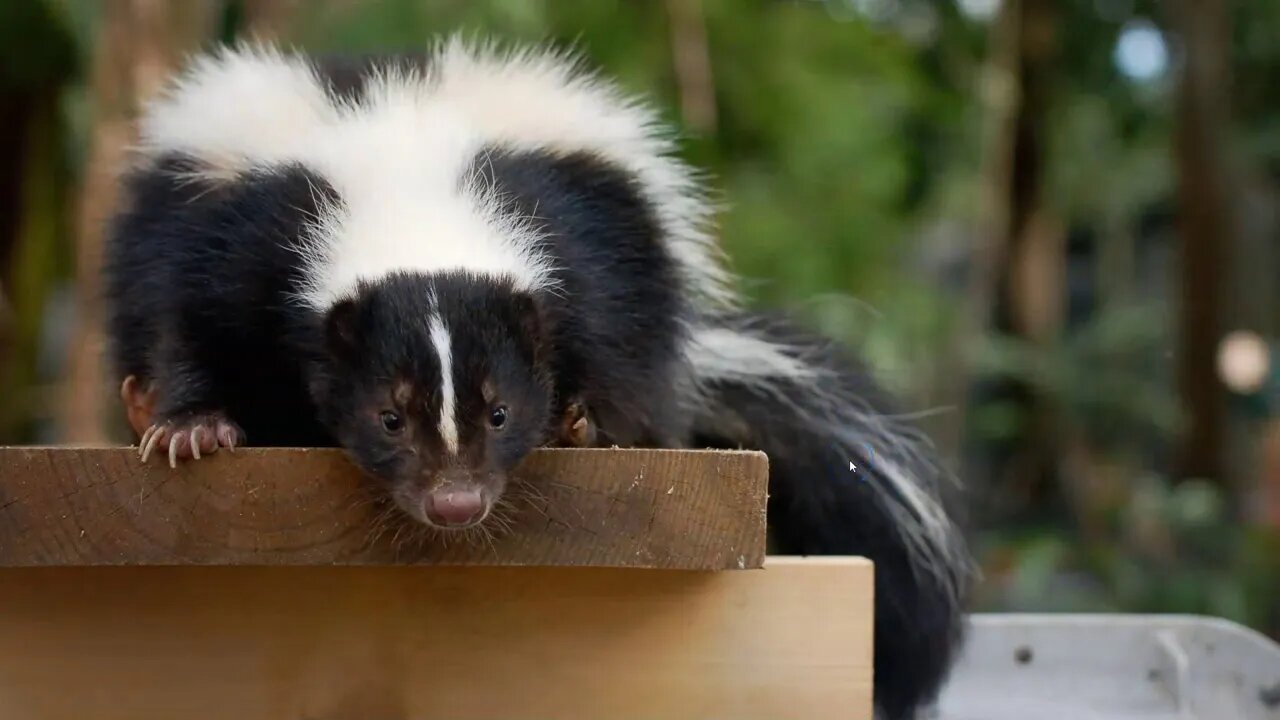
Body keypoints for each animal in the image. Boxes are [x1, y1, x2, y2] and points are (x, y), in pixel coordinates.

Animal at [104, 40, 972, 717]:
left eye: (498, 411)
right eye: (389, 417)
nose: (455, 503)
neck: (408, 180)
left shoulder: (581, 236)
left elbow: (606, 333)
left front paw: (580, 420)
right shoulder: (241, 227)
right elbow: (186, 318)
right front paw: (192, 425)